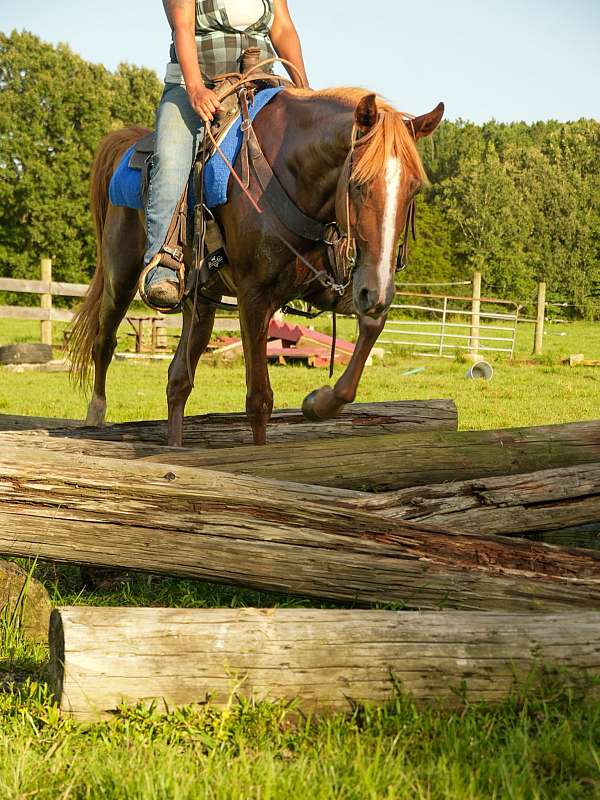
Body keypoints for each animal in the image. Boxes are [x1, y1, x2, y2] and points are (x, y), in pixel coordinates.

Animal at [68, 88, 443, 445]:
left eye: (412, 188)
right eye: (358, 184)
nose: (378, 290)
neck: (292, 178)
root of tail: (132, 143)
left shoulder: (332, 288)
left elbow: (371, 325)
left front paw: (319, 403)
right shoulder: (254, 298)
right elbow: (259, 400)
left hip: (199, 303)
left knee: (179, 380)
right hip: (120, 276)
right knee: (104, 341)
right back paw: (95, 414)